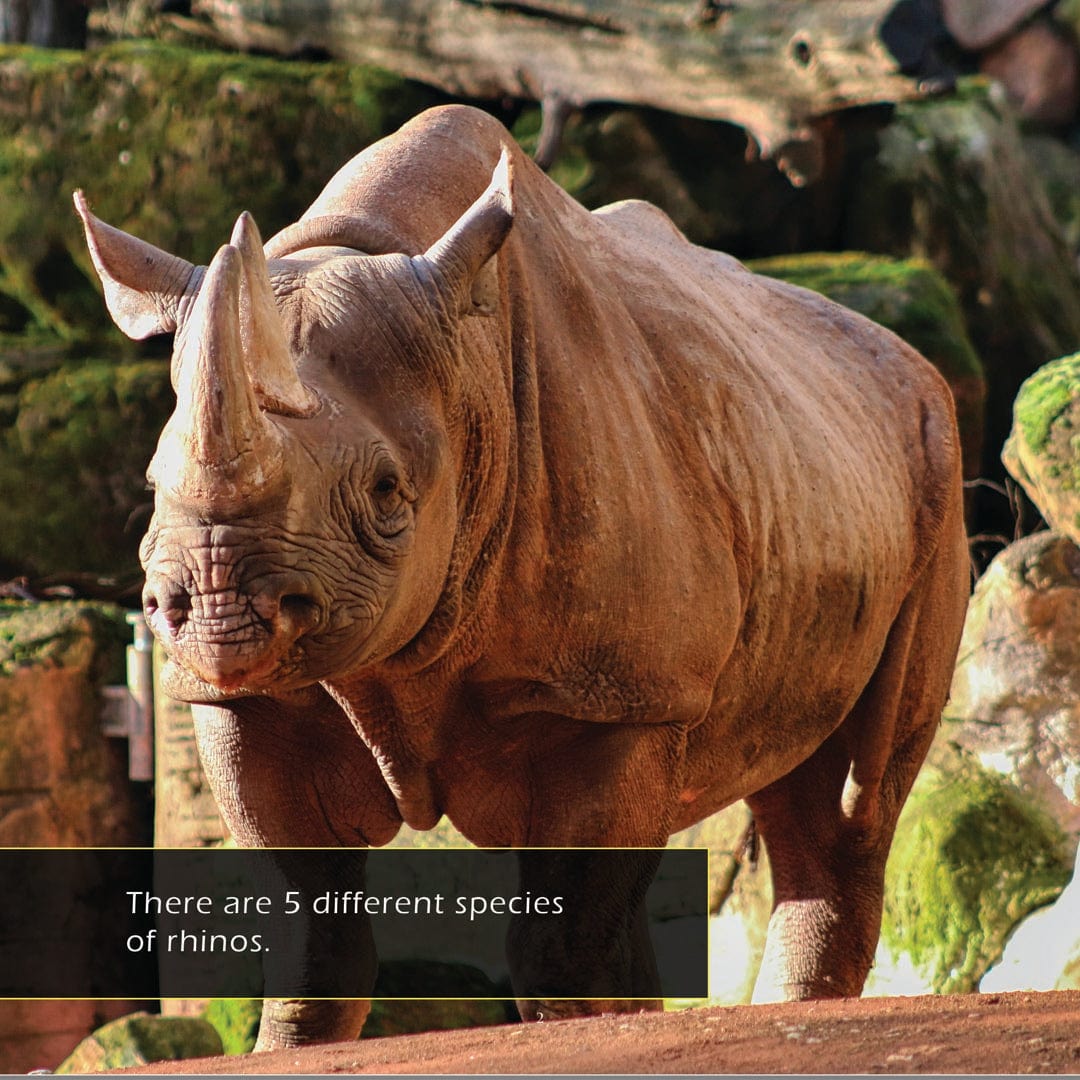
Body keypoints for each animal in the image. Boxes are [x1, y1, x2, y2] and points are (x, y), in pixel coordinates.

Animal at [76, 104, 969, 1049]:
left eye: (386, 492)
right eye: (152, 484)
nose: (216, 611)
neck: (465, 384)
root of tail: (912, 362)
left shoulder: (618, 697)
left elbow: (562, 943)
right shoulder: (247, 703)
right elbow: (315, 937)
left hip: (931, 464)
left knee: (853, 800)